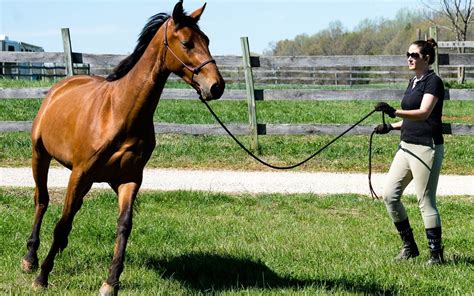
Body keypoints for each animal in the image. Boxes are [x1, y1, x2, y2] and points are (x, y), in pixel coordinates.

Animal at [20, 1, 224, 294]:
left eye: (206, 40)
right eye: (187, 42)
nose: (216, 86)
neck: (119, 111)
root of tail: (62, 85)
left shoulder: (129, 179)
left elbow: (124, 226)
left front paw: (111, 282)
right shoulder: (79, 173)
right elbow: (62, 223)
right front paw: (42, 277)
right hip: (41, 156)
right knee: (42, 201)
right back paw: (30, 259)